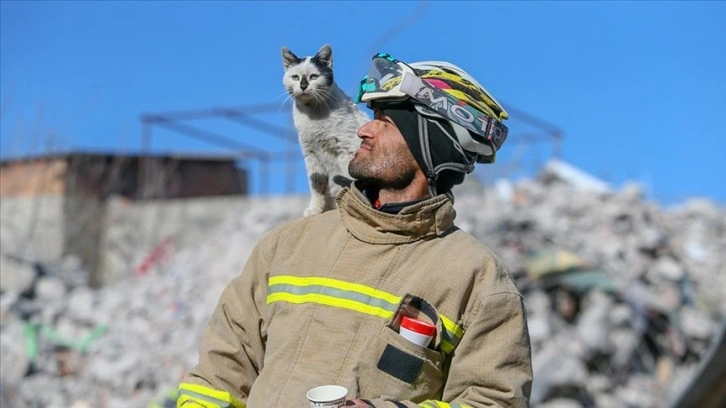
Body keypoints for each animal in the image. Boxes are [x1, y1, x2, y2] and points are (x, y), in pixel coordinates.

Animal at [280, 43, 370, 217]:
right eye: (295, 77)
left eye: (314, 77)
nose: (303, 86)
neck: (313, 114)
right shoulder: (311, 155)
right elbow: (317, 184)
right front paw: (315, 209)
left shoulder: (347, 150)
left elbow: (346, 180)